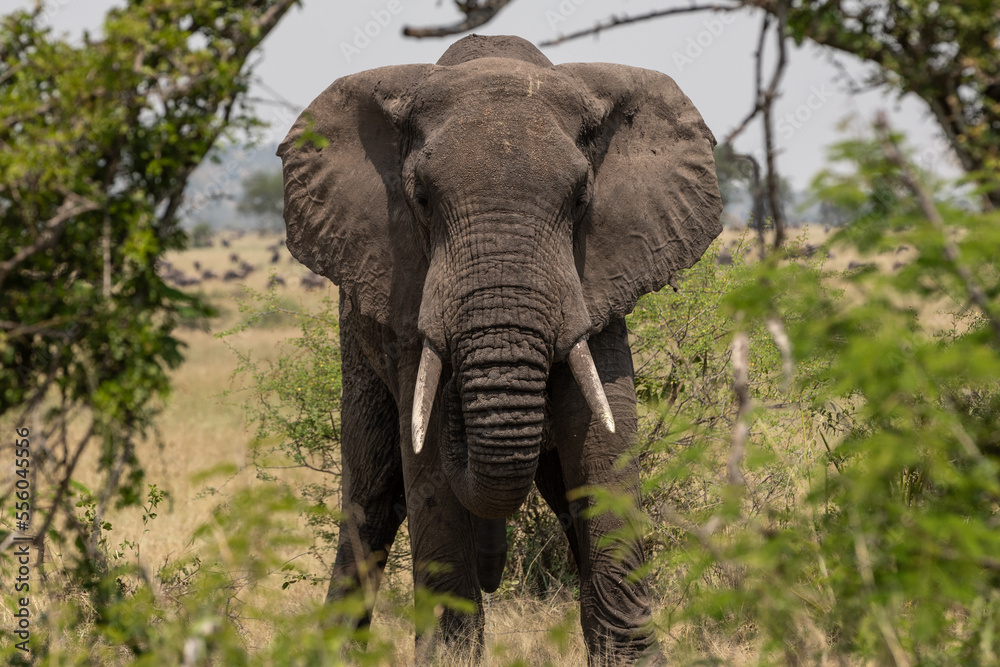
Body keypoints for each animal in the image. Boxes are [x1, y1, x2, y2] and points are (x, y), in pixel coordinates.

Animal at [277, 34, 722, 664]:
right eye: (420, 199)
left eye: (581, 198)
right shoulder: (404, 288)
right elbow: (426, 469)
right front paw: (451, 659)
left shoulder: (601, 275)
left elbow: (603, 443)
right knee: (372, 492)